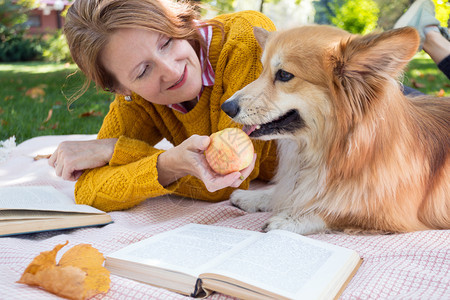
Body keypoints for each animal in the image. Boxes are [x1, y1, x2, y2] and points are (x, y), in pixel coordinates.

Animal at [222, 25, 450, 234]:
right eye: (262, 71)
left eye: (284, 74)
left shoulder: (394, 214)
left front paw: (288, 221)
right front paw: (254, 196)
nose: (226, 107)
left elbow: (333, 210)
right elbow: (287, 192)